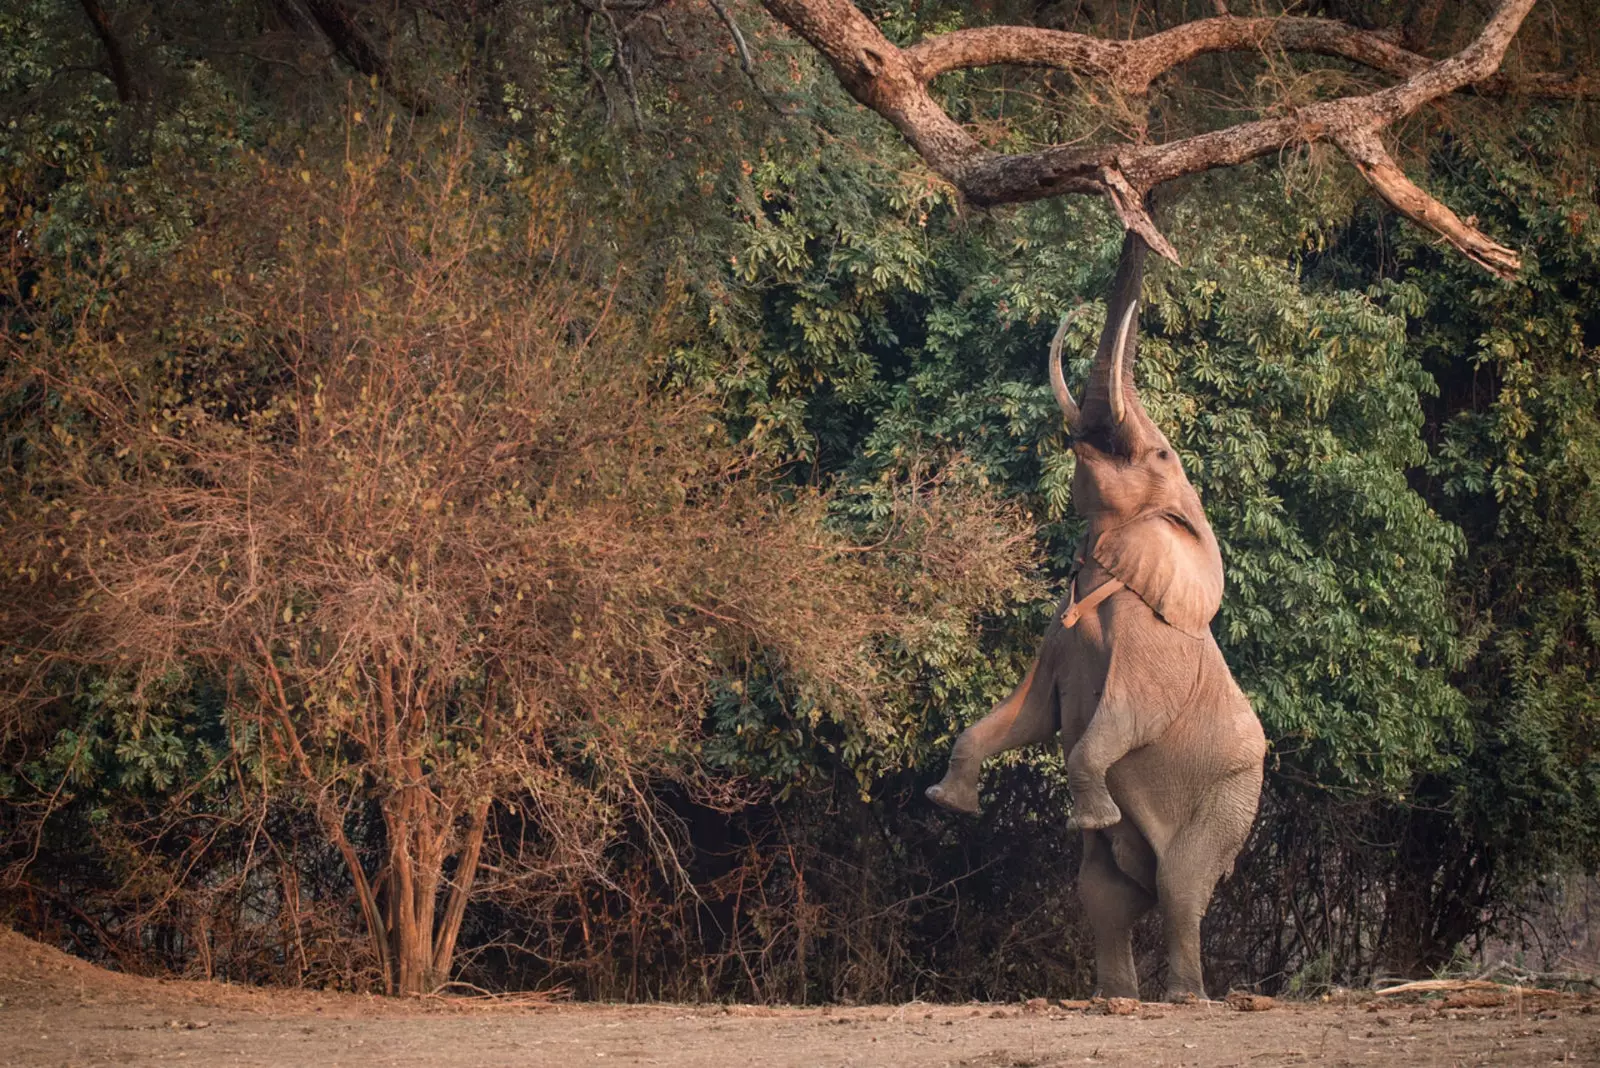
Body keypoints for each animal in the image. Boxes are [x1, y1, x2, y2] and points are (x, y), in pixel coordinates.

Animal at [928, 231, 1260, 1004]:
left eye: (1160, 453)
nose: (1077, 435)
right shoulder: (1059, 626)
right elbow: (1030, 713)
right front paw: (948, 804)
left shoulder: (1150, 637)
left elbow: (1121, 719)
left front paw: (1092, 811)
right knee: (1103, 892)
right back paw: (1115, 998)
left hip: (1231, 795)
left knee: (1179, 886)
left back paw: (1183, 998)